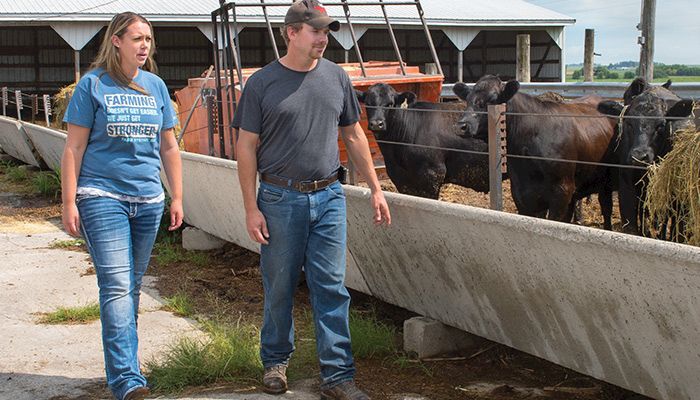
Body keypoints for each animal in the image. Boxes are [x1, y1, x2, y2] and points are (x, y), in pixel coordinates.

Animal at [452, 74, 616, 228]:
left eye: (492, 99)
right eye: (467, 99)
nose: (461, 126)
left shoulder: (562, 191)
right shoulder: (522, 194)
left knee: (606, 208)